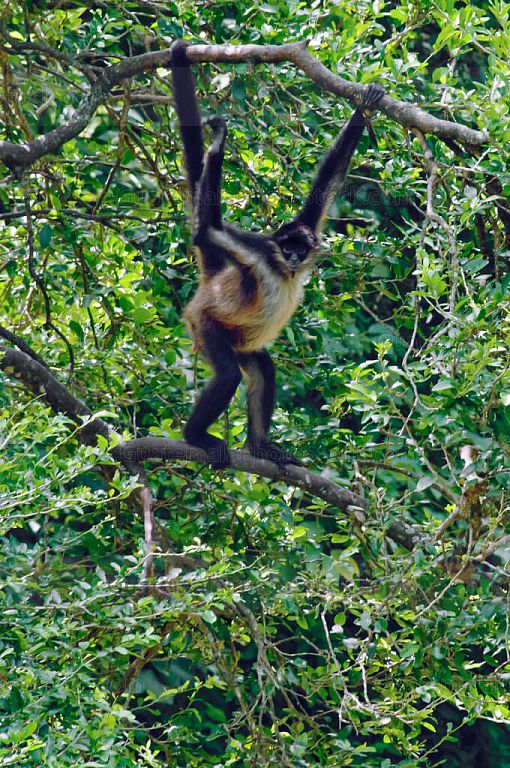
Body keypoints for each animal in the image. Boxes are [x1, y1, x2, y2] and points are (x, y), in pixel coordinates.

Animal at [169, 40, 384, 469]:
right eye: (286, 248)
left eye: (300, 248)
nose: (295, 258)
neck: (285, 273)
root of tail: (211, 285)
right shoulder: (260, 251)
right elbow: (206, 232)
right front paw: (218, 143)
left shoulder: (307, 225)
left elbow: (329, 179)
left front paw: (364, 107)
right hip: (206, 323)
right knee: (228, 376)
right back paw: (195, 436)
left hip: (241, 340)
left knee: (263, 370)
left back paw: (260, 446)